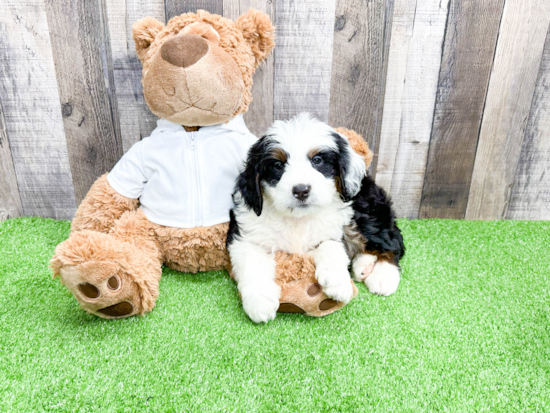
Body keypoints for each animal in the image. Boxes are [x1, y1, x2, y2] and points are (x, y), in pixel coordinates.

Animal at [227, 112, 406, 322]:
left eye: (318, 160)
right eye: (278, 165)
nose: (301, 190)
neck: (297, 218)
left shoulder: (333, 230)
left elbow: (330, 246)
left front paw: (337, 282)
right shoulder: (245, 233)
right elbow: (251, 261)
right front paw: (260, 302)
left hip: (364, 209)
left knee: (391, 241)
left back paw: (383, 276)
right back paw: (363, 265)